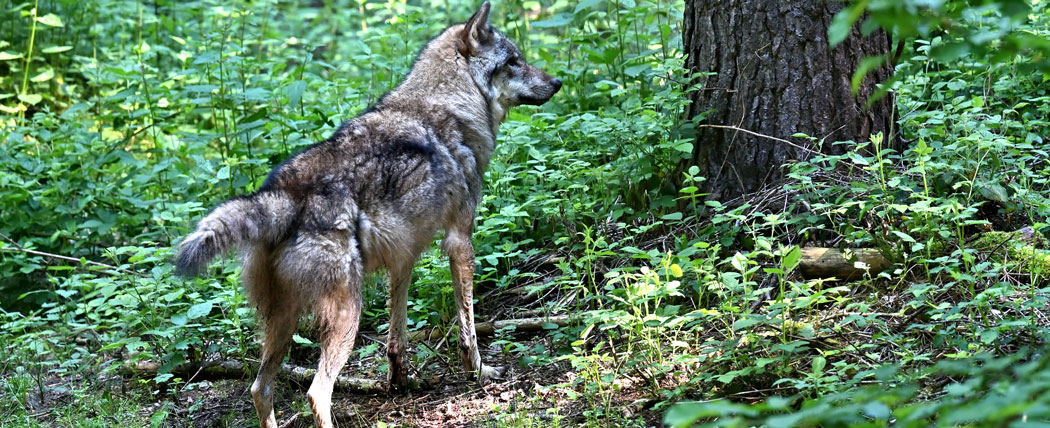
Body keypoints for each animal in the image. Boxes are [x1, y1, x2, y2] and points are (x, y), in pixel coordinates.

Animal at [173, 2, 560, 427]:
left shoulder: (405, 255)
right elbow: (468, 328)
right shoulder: (459, 242)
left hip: (285, 322)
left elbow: (397, 336)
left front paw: (400, 381)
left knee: (261, 389)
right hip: (346, 318)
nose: (557, 82)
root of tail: (283, 193)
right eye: (514, 61)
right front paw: (479, 372)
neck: (450, 105)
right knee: (316, 393)